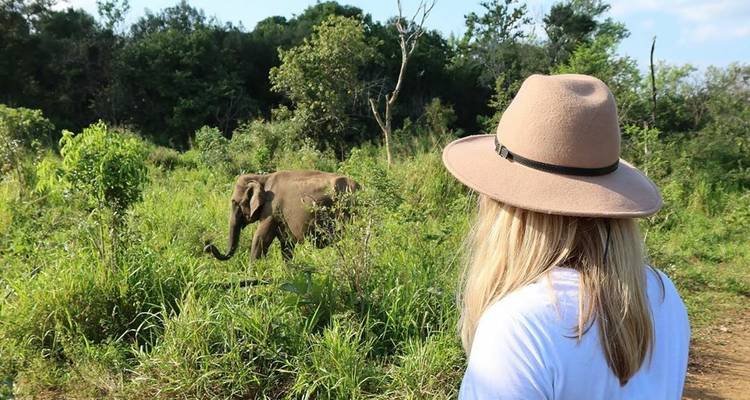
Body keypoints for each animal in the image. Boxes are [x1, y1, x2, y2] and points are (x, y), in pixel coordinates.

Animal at [204, 170, 360, 263]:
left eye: (235, 203)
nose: (207, 246)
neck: (262, 178)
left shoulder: (271, 209)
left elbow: (260, 238)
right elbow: (286, 244)